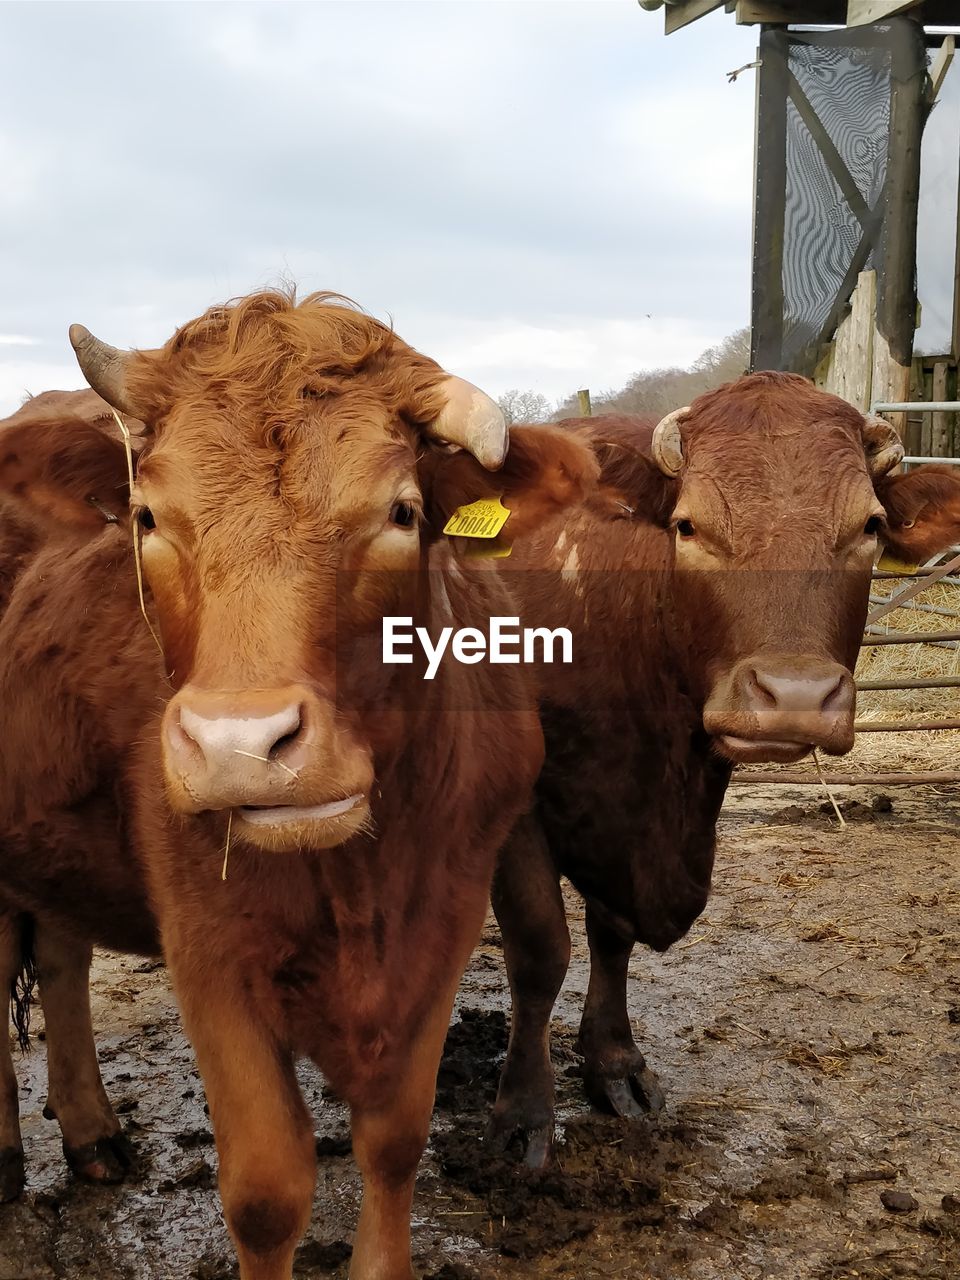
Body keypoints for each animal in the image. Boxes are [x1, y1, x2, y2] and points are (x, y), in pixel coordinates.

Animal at [0, 293, 599, 1280]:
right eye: (147, 517)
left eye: (402, 511)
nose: (237, 745)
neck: (358, 878)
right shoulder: (207, 950)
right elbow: (268, 1190)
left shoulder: (445, 919)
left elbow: (394, 1140)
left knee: (58, 955)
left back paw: (91, 1134)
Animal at [488, 373, 911, 1167]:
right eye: (689, 527)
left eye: (869, 526)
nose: (795, 696)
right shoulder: (514, 805)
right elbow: (540, 948)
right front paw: (523, 1111)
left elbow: (612, 937)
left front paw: (614, 1063)